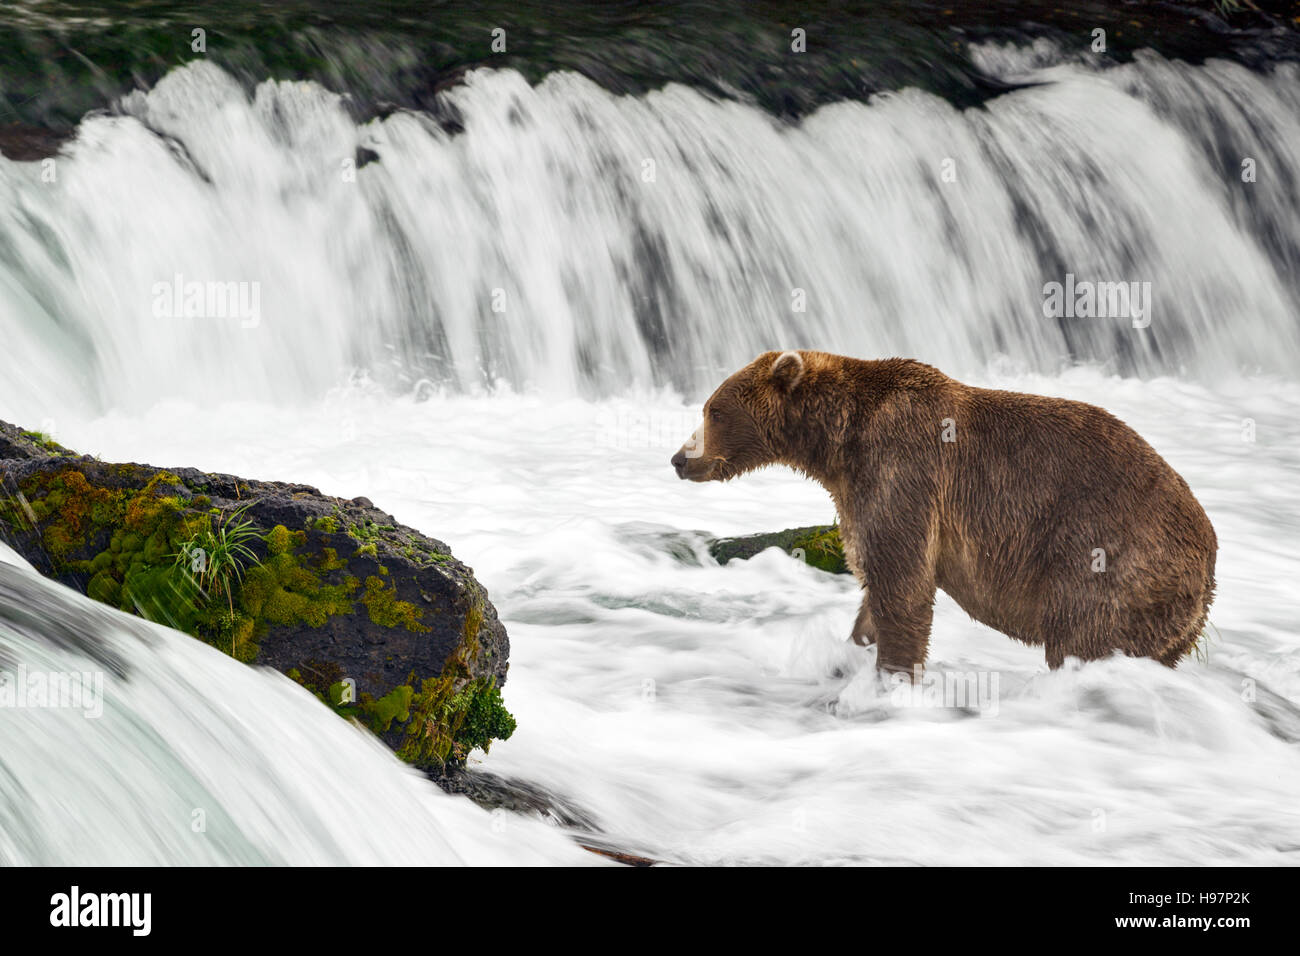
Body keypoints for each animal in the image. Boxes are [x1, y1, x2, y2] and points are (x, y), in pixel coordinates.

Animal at [670, 348, 1216, 671]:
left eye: (714, 410)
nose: (680, 458)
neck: (839, 442)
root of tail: (1210, 551)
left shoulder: (904, 469)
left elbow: (902, 584)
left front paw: (892, 673)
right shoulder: (860, 489)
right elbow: (874, 577)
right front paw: (855, 648)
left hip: (1110, 555)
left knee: (1082, 635)